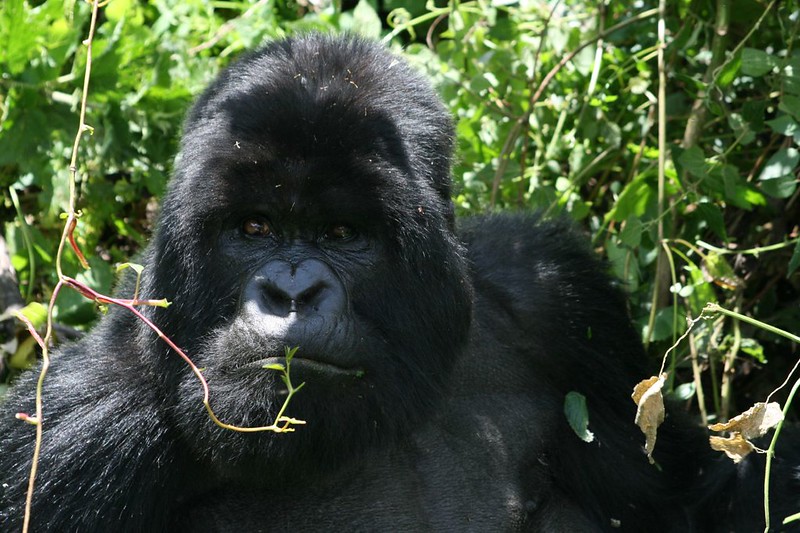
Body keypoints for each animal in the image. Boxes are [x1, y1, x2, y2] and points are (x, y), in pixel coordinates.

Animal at [0, 35, 792, 528]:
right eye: (254, 228)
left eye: (343, 234)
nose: (293, 294)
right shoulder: (74, 425)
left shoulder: (556, 302)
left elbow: (692, 495)